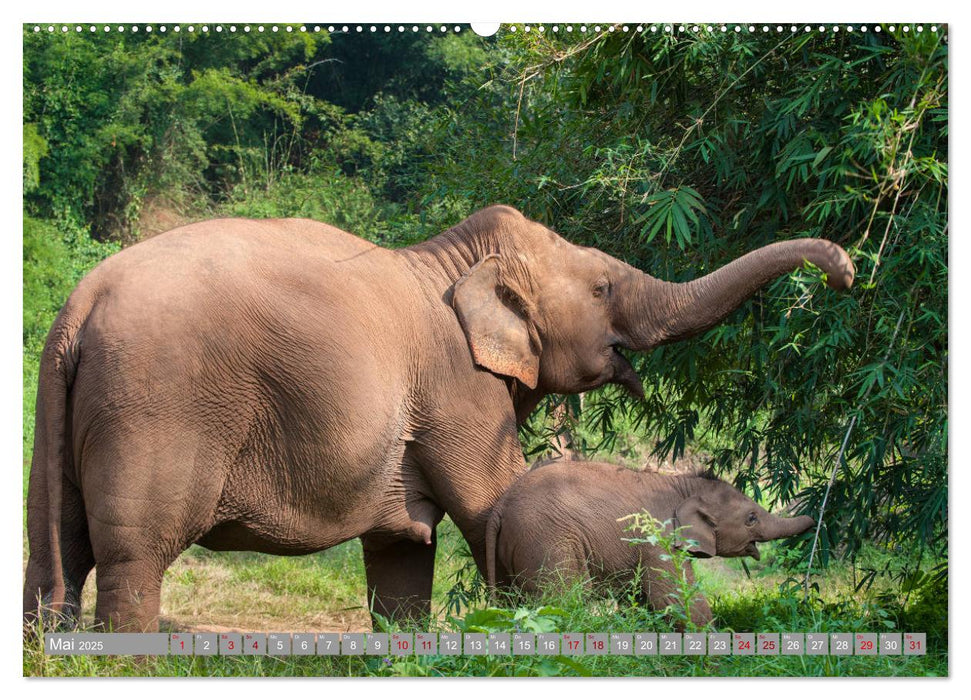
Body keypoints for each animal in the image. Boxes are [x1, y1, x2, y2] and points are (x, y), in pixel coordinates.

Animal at [484, 462, 812, 628]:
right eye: (752, 518)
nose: (812, 518)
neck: (682, 483)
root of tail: (501, 506)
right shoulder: (658, 540)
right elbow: (672, 598)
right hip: (547, 541)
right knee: (566, 600)